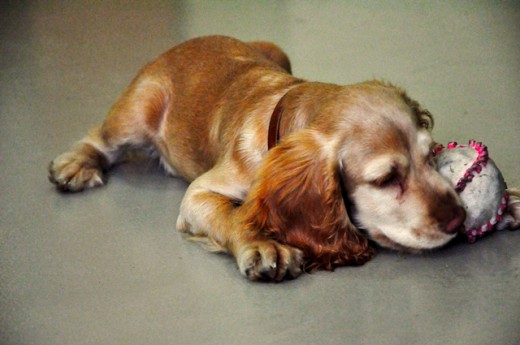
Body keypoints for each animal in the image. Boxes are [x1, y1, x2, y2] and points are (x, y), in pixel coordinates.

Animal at [49, 35, 516, 280]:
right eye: (385, 180)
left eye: (432, 156)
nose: (458, 218)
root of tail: (181, 43)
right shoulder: (199, 192)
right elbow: (233, 214)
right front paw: (261, 243)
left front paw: (509, 199)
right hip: (138, 110)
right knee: (99, 137)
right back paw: (75, 165)